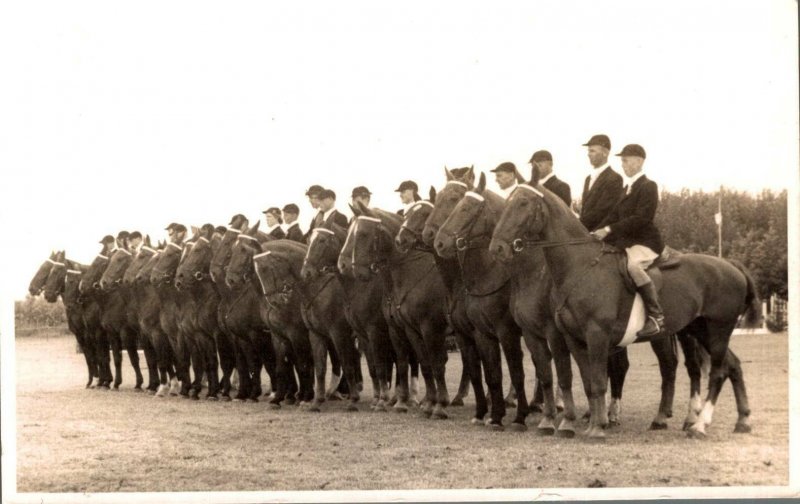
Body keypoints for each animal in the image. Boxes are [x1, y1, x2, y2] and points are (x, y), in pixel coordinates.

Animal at [42, 252, 97, 390]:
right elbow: (89, 357)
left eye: (56, 271)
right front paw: (91, 381)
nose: (48, 295)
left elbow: (95, 356)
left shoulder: (91, 334)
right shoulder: (80, 335)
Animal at [176, 226, 236, 400]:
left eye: (197, 250)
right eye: (183, 251)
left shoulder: (219, 335)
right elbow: (205, 362)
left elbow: (224, 362)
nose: (179, 278)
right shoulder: (199, 335)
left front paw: (222, 392)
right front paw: (208, 391)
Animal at [344, 203, 454, 420]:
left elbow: (435, 364)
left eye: (363, 234)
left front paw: (439, 406)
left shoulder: (430, 329)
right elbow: (416, 364)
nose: (355, 271)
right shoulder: (403, 330)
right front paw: (412, 403)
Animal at [490, 179, 760, 440]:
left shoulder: (593, 335)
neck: (579, 267)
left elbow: (597, 381)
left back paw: (699, 425)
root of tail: (731, 265)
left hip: (717, 331)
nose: (497, 248)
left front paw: (596, 428)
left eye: (523, 203)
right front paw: (587, 424)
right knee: (730, 365)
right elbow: (588, 383)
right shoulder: (573, 339)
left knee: (716, 372)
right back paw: (741, 421)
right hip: (700, 331)